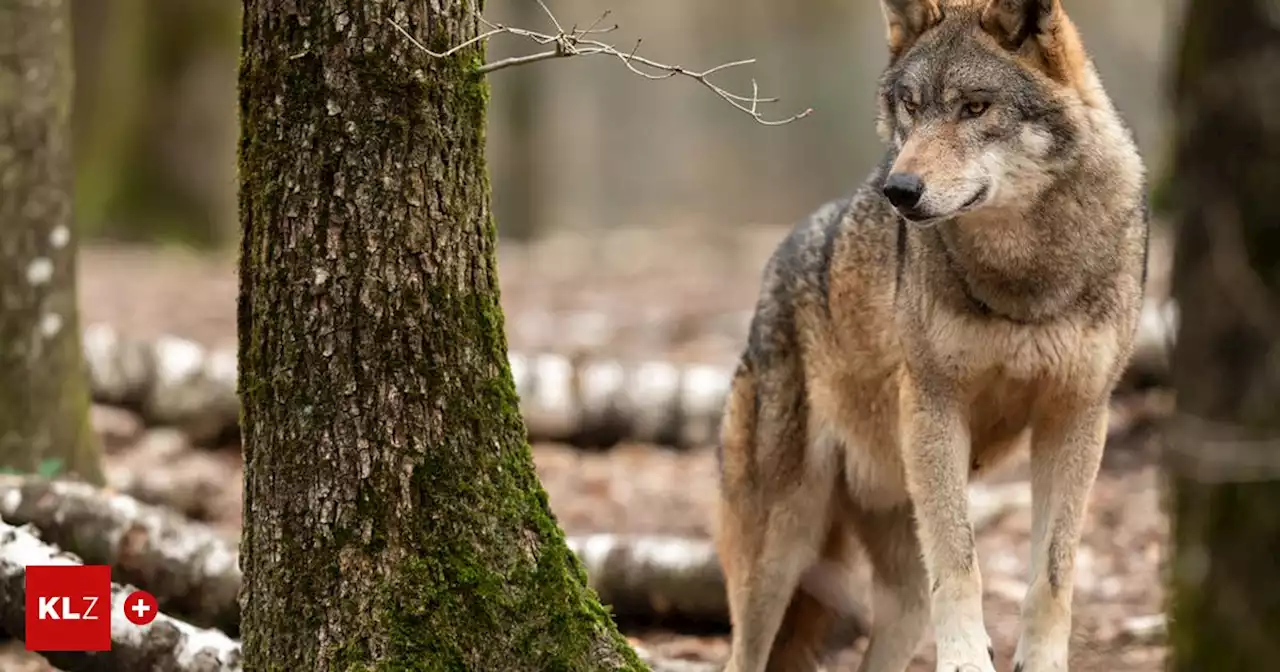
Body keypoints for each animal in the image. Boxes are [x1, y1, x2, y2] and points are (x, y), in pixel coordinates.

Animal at [716, 1, 1146, 670]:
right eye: (911, 108)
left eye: (974, 107)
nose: (898, 190)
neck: (1025, 277)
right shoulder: (935, 405)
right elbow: (962, 562)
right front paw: (968, 659)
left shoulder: (1077, 414)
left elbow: (1053, 573)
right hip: (780, 550)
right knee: (741, 654)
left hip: (899, 592)